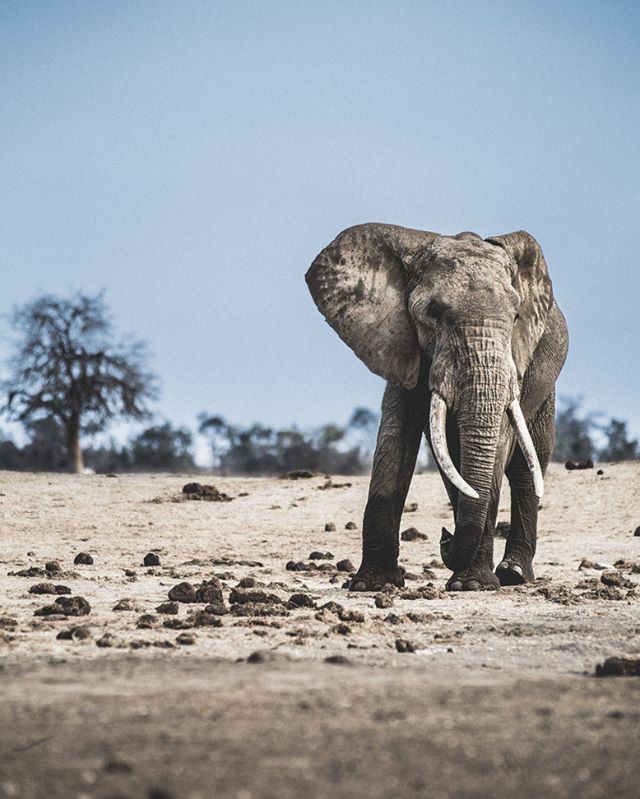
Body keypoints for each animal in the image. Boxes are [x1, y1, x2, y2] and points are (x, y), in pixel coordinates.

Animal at [306, 224, 568, 591]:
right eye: (433, 314)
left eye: (516, 316)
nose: (444, 539)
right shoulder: (400, 344)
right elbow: (395, 437)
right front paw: (372, 584)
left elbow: (500, 444)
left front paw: (472, 586)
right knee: (454, 461)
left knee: (526, 465)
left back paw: (513, 574)